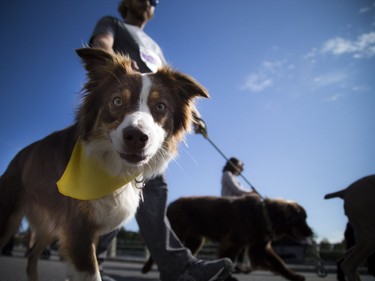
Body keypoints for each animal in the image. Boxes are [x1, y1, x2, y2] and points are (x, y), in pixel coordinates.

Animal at [0, 48, 210, 280]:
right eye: (117, 101)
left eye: (161, 106)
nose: (136, 137)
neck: (113, 168)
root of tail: (17, 157)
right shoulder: (78, 227)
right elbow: (92, 273)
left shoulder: (85, 228)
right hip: (9, 215)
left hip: (51, 225)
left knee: (32, 256)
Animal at [142, 192, 312, 280]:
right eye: (302, 219)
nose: (311, 232)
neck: (265, 214)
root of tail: (171, 203)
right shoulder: (233, 242)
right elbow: (232, 258)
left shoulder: (260, 247)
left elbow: (279, 263)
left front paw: (293, 275)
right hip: (179, 232)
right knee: (158, 248)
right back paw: (147, 267)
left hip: (195, 240)